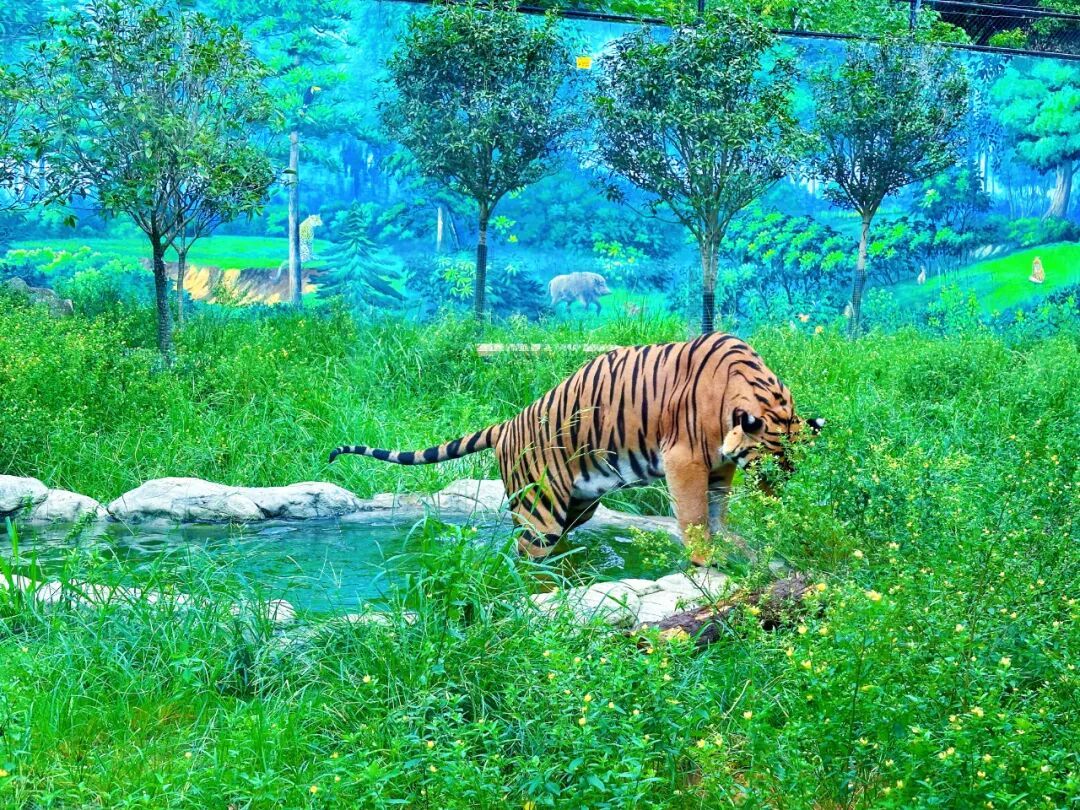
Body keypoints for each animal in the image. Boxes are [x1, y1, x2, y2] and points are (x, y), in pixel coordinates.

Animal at [329, 333, 824, 565]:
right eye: (770, 473)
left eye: (792, 471)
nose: (779, 504)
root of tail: (507, 424)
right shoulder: (685, 460)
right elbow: (695, 514)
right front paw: (706, 557)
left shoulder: (721, 468)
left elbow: (718, 510)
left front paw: (730, 546)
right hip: (539, 508)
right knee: (525, 556)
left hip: (576, 504)